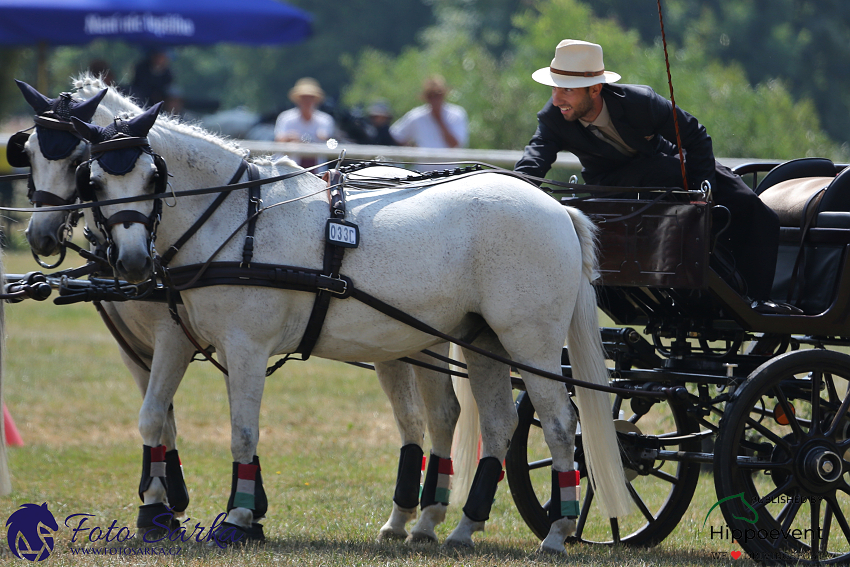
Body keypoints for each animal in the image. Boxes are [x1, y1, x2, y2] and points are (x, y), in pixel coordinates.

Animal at [18, 77, 470, 544]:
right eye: (28, 152)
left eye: (76, 161)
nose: (42, 236)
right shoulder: (143, 348)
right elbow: (162, 420)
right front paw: (170, 505)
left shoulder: (183, 339)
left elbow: (183, 420)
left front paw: (196, 511)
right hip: (401, 342)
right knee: (422, 417)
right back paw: (405, 518)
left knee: (440, 416)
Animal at [71, 103, 628, 556]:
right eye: (92, 182)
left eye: (152, 176)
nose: (131, 261)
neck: (235, 221)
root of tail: (555, 206)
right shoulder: (180, 341)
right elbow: (158, 418)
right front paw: (178, 513)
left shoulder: (245, 347)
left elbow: (242, 431)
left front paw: (238, 518)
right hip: (482, 340)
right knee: (497, 425)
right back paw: (462, 529)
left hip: (530, 342)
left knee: (560, 425)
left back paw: (557, 531)